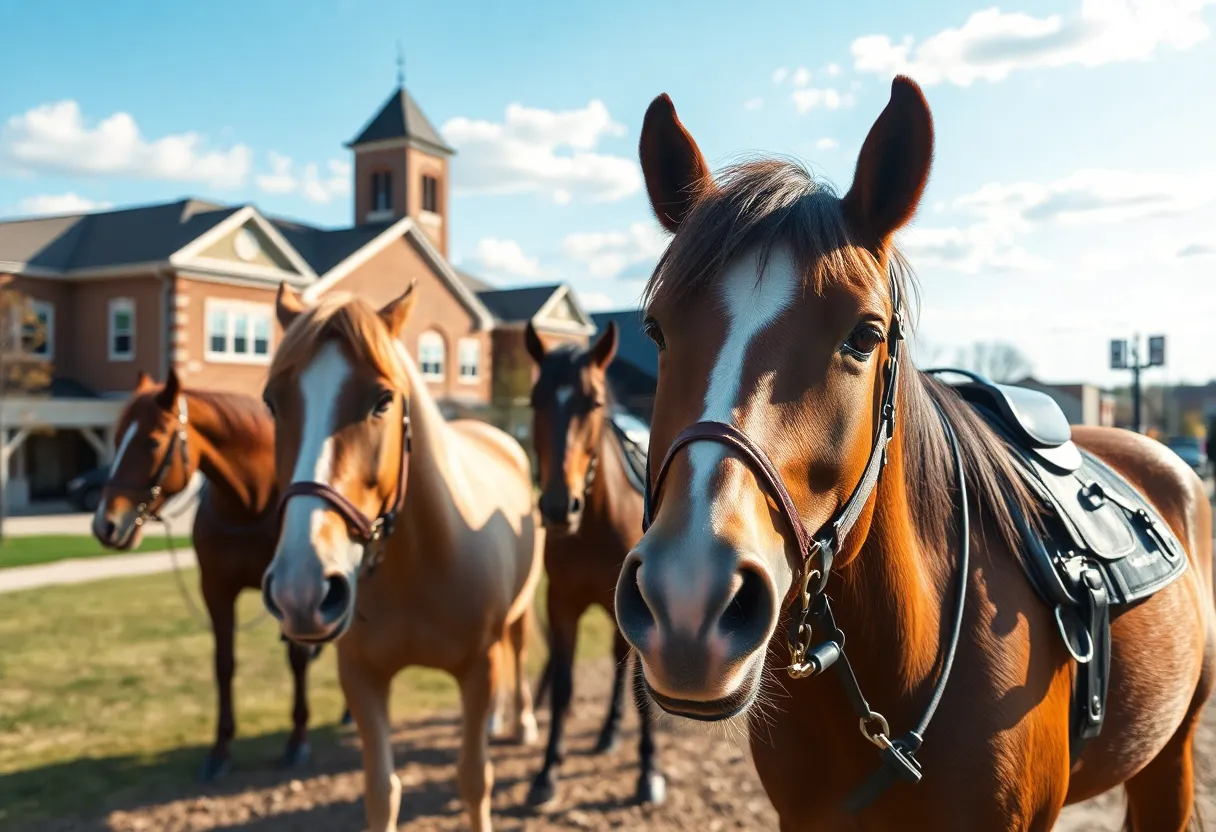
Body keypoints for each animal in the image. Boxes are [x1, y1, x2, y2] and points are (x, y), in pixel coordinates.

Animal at [93, 370, 335, 780]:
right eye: (116, 437)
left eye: (152, 440)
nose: (105, 525)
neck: (252, 505)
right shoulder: (217, 590)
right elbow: (224, 665)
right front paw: (220, 750)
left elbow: (297, 659)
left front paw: (298, 740)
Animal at [260, 283, 543, 832]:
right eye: (272, 402)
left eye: (383, 401)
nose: (302, 590)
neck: (418, 568)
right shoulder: (361, 677)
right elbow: (381, 790)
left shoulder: (478, 668)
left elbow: (474, 780)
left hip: (518, 614)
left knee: (517, 654)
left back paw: (519, 722)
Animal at [521, 320, 666, 809]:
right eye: (536, 401)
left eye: (594, 403)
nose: (557, 506)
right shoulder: (561, 604)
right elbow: (564, 687)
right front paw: (547, 771)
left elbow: (640, 684)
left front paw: (648, 770)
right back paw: (608, 732)